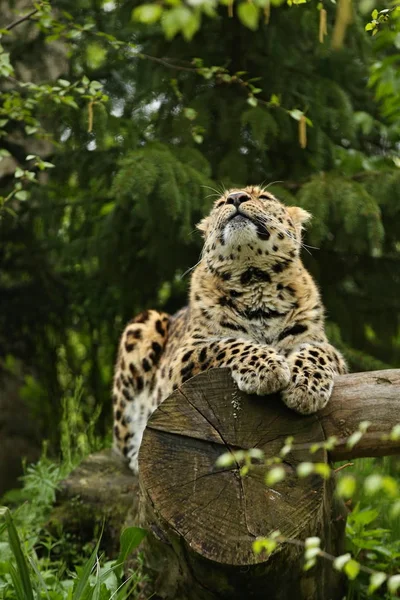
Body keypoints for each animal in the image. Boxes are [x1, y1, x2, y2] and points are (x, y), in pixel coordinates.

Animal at [111, 185, 346, 472]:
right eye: (220, 203)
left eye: (264, 197)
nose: (235, 198)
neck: (255, 281)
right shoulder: (184, 356)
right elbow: (230, 344)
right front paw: (268, 368)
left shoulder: (323, 344)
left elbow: (316, 352)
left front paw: (306, 389)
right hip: (144, 325)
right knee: (122, 444)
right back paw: (136, 456)